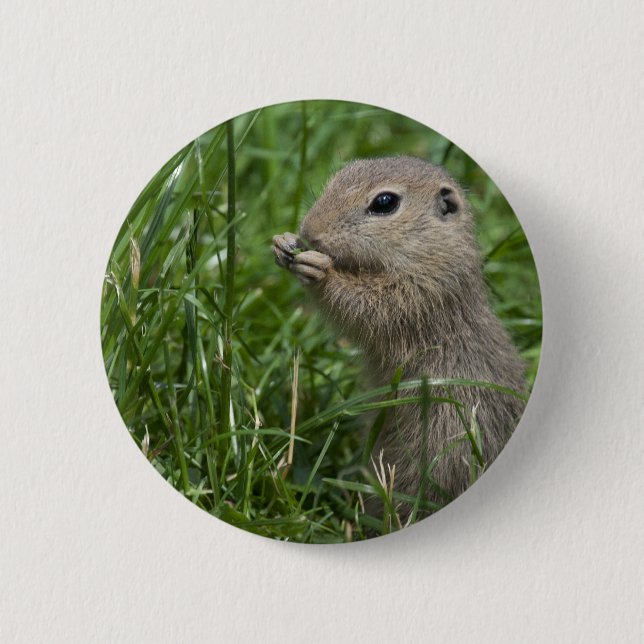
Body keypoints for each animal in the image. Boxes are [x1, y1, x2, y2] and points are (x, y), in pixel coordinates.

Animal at [272, 156, 526, 515]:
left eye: (384, 202)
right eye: (339, 175)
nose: (310, 231)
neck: (431, 251)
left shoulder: (421, 294)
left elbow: (366, 306)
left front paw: (320, 271)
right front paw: (283, 243)